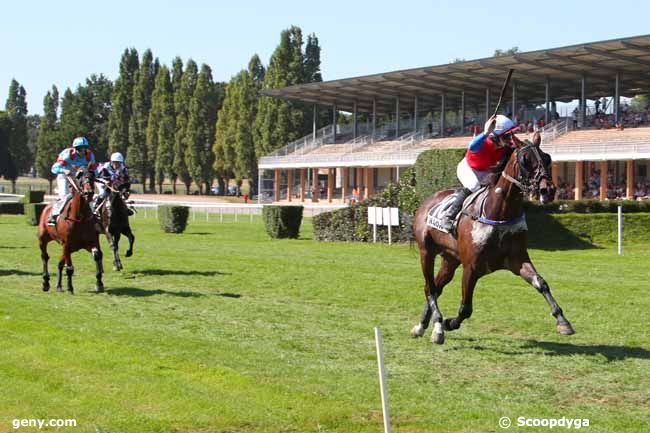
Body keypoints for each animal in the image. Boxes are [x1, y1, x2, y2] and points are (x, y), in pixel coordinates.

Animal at [410, 132, 572, 344]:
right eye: (525, 159)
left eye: (547, 158)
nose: (548, 190)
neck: (499, 213)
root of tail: (425, 202)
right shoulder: (471, 267)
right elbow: (466, 307)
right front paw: (449, 323)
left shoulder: (517, 260)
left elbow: (541, 283)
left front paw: (563, 321)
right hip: (426, 252)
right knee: (429, 288)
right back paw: (437, 327)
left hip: (450, 259)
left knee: (436, 288)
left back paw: (421, 326)